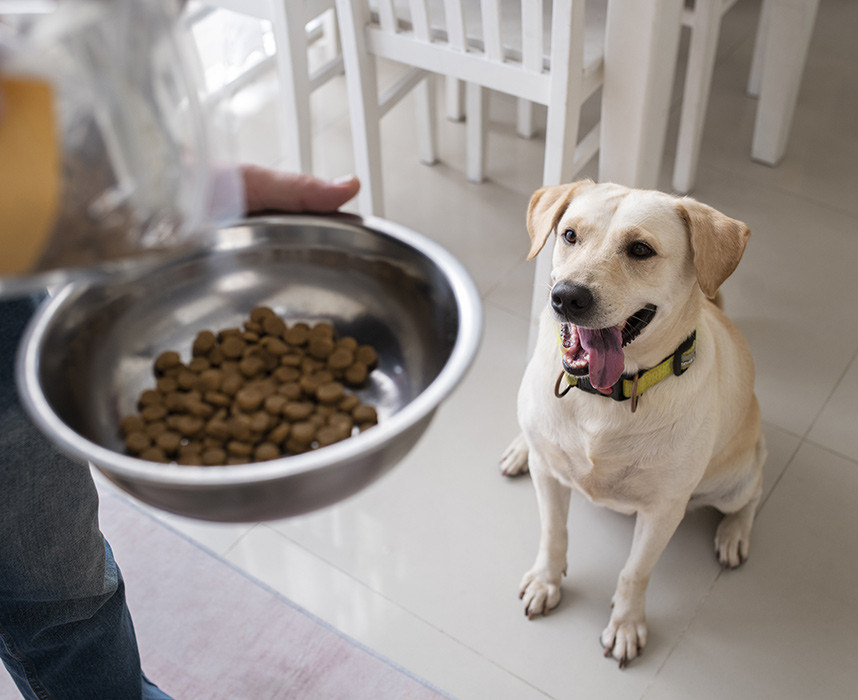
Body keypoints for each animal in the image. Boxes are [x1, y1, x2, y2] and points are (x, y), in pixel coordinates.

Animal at [498, 179, 764, 668]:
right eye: (569, 235)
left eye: (641, 249)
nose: (567, 297)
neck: (603, 398)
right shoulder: (550, 477)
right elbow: (554, 533)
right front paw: (547, 581)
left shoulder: (663, 510)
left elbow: (635, 571)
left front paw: (626, 624)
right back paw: (521, 447)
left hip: (734, 479)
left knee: (751, 495)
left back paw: (734, 533)